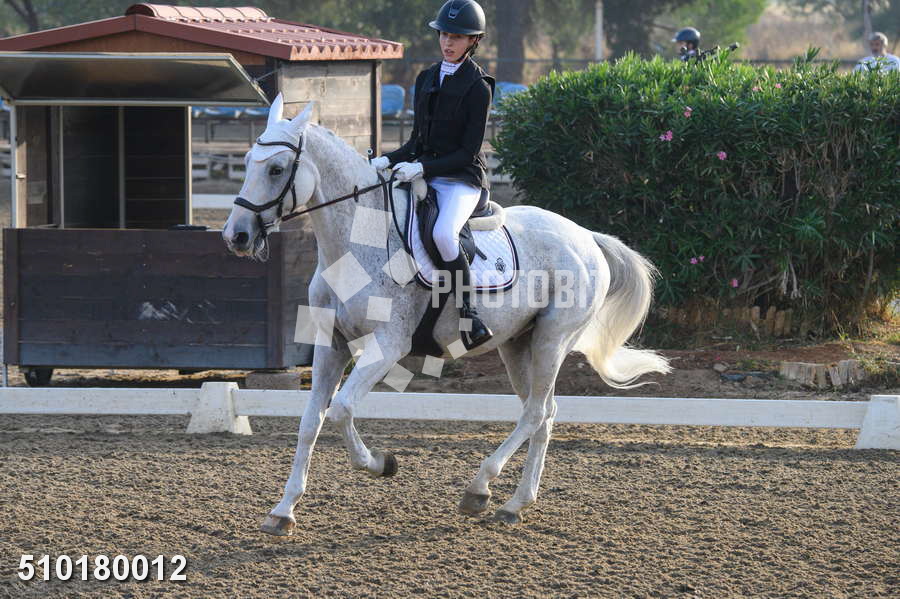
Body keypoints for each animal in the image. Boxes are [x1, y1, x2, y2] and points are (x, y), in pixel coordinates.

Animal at [223, 94, 670, 535]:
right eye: (246, 162)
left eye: (277, 169)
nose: (236, 236)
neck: (356, 244)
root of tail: (586, 237)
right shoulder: (332, 344)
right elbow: (310, 421)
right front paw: (283, 510)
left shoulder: (388, 345)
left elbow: (341, 410)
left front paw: (381, 464)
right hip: (518, 344)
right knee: (544, 412)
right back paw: (515, 503)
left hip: (552, 340)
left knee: (536, 411)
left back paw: (480, 489)